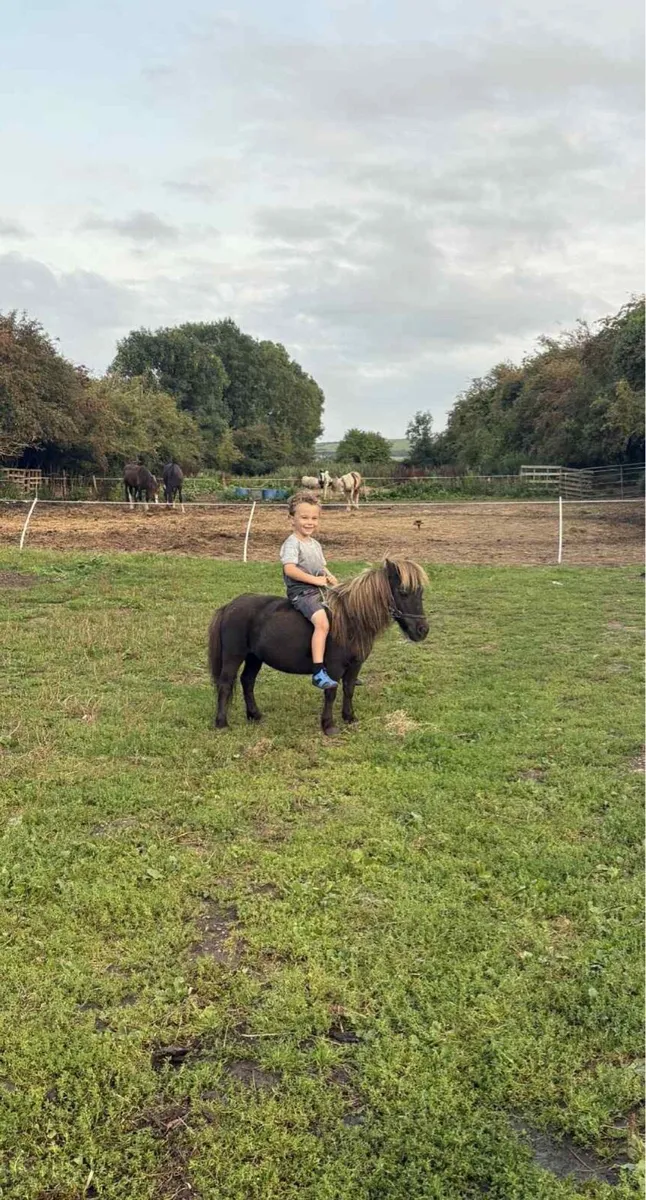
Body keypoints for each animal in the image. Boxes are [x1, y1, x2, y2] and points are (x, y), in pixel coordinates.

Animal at [208, 557, 429, 736]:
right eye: (403, 592)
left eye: (420, 592)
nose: (422, 630)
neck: (350, 620)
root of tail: (229, 606)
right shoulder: (334, 667)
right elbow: (330, 692)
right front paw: (328, 725)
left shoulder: (355, 665)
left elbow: (349, 689)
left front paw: (349, 717)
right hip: (233, 656)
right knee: (225, 684)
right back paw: (222, 723)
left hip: (255, 657)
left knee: (247, 681)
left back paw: (255, 715)